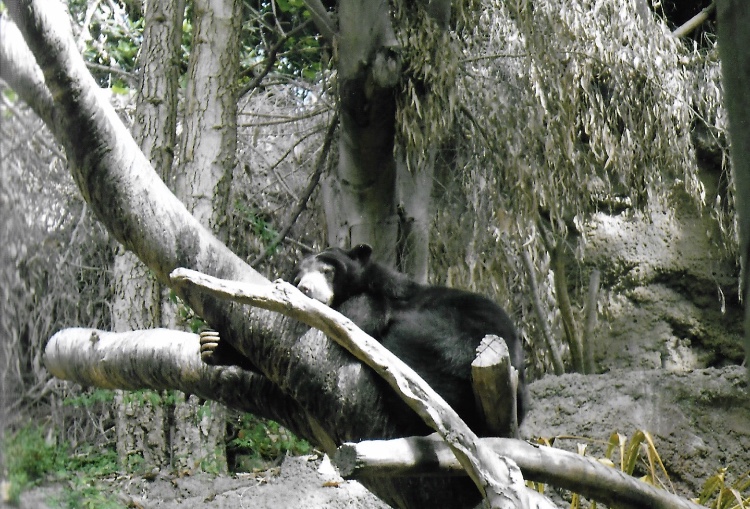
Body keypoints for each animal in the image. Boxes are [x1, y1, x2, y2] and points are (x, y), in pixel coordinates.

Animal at [292, 243, 528, 435]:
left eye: (327, 271)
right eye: (298, 278)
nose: (304, 288)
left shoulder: (379, 302)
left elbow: (358, 316)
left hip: (439, 340)